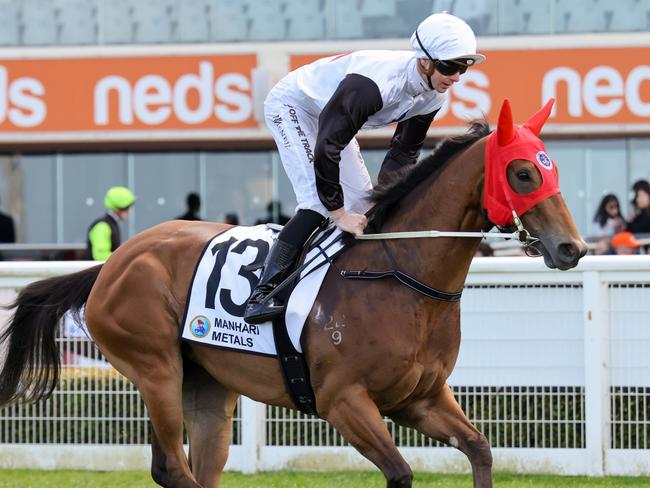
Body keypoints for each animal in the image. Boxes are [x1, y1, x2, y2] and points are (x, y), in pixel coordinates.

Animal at [0, 100, 588, 488]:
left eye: (552, 167)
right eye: (522, 172)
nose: (573, 248)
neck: (398, 275)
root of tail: (112, 263)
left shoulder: (419, 398)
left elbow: (481, 450)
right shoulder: (343, 401)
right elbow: (400, 472)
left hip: (209, 386)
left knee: (201, 467)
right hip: (155, 368)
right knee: (171, 468)